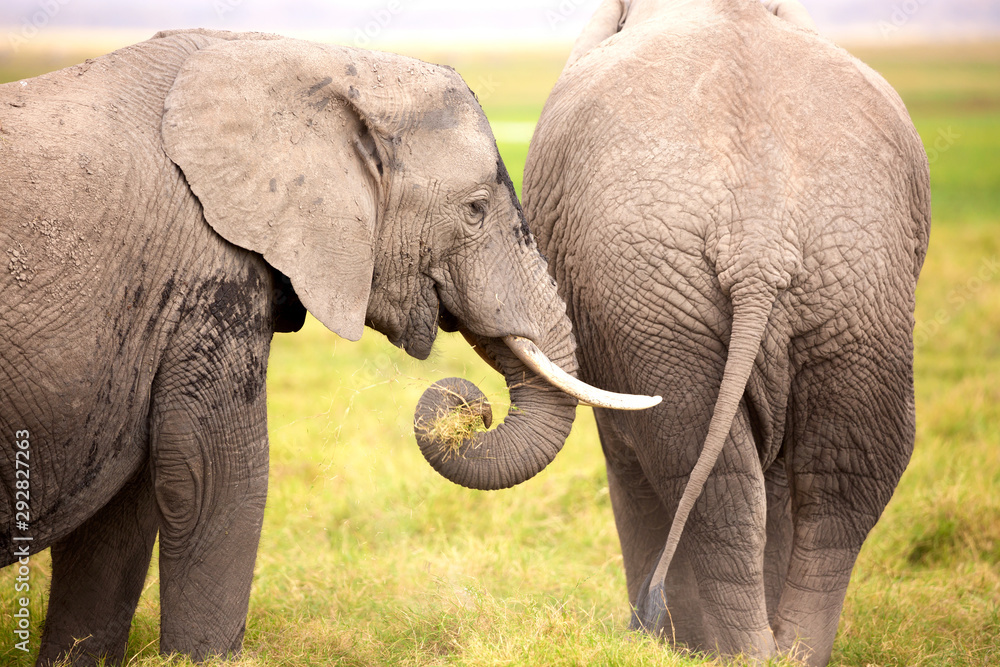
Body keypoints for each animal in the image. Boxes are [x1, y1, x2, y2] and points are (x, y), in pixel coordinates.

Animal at [0, 28, 656, 664]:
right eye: (475, 210)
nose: (469, 407)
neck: (298, 56)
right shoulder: (206, 277)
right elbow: (215, 479)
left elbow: (121, 511)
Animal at [524, 1, 928, 667]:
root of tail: (759, 240)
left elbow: (628, 455)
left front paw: (662, 643)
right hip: (854, 290)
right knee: (843, 474)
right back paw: (782, 652)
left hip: (670, 296)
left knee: (702, 470)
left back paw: (733, 649)